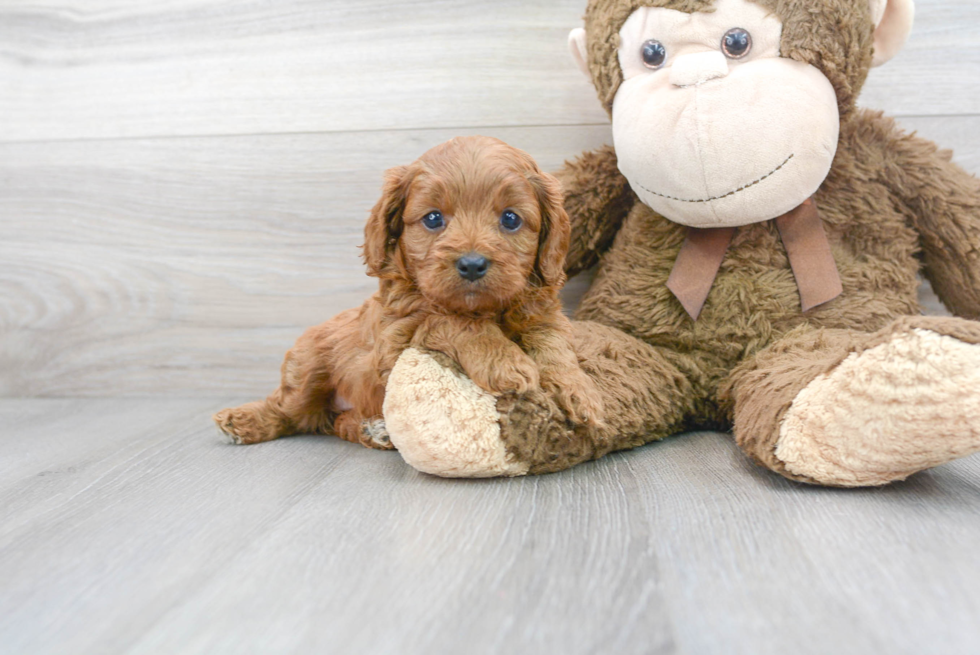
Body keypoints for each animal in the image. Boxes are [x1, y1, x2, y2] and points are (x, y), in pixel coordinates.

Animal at [213, 136, 596, 448]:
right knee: (286, 408)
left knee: (336, 423)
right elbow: (453, 321)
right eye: (433, 219)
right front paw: (504, 361)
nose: (472, 264)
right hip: (307, 367)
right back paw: (242, 421)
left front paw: (577, 390)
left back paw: (373, 430)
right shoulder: (396, 340)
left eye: (511, 219)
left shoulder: (542, 315)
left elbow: (554, 346)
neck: (483, 308)